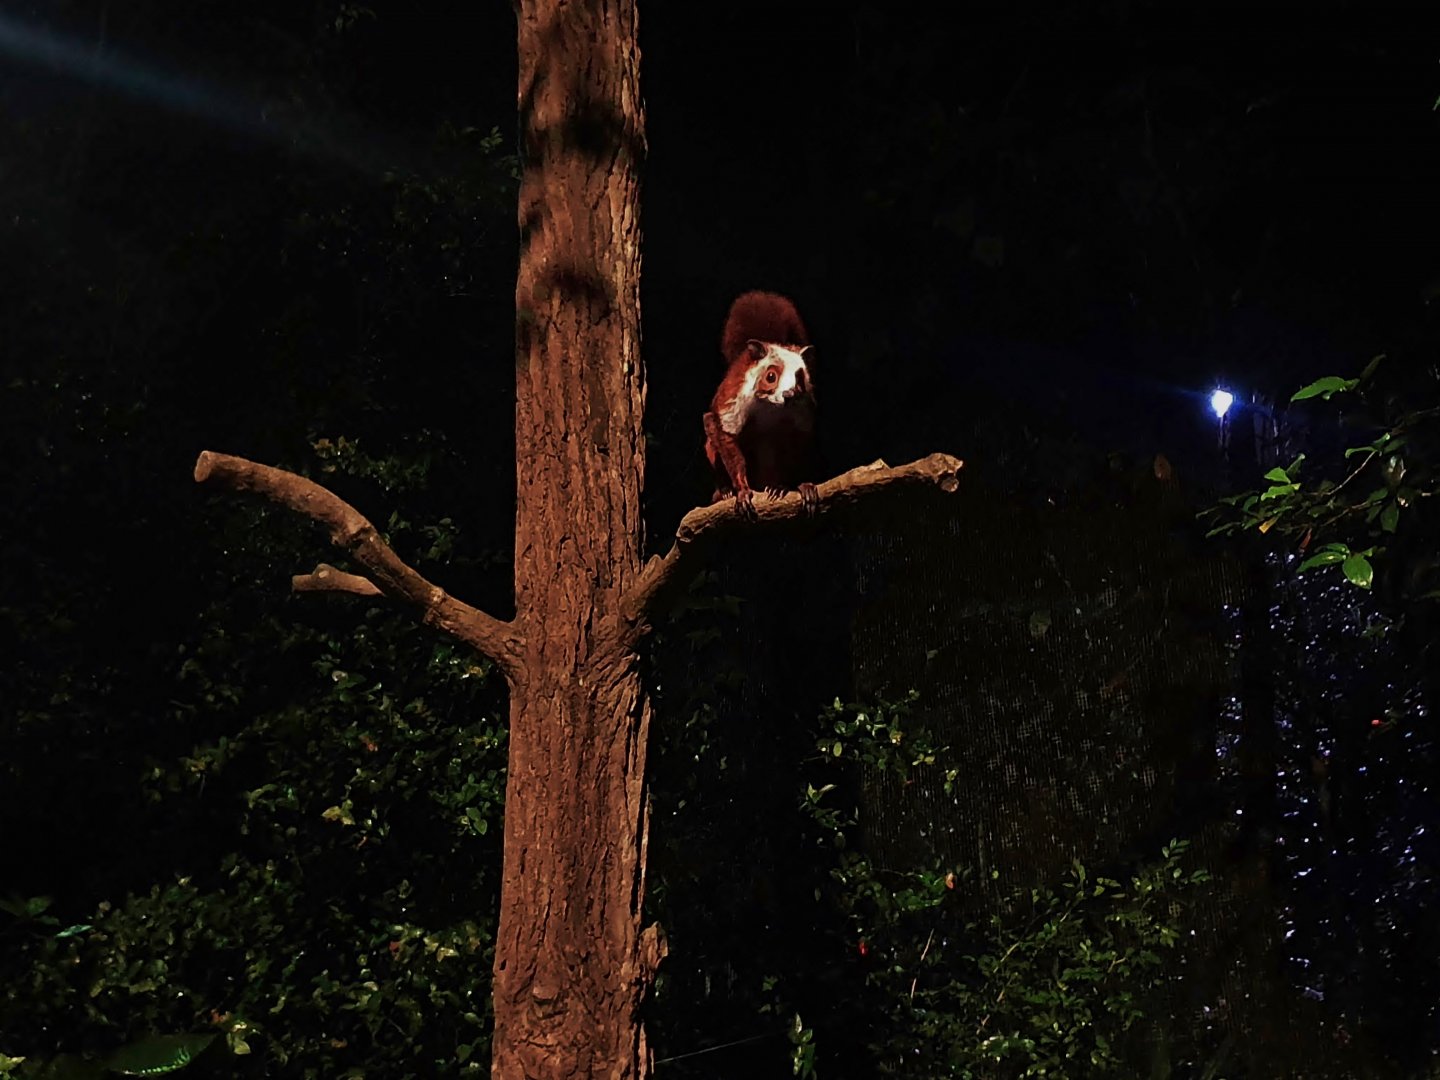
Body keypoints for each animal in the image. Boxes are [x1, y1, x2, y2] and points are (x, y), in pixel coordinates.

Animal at [702, 291, 819, 517]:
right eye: (771, 376)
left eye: (799, 380)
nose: (789, 393)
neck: (770, 407)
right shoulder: (733, 401)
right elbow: (722, 431)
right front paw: (741, 491)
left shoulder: (803, 410)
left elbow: (799, 441)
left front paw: (787, 486)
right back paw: (725, 490)